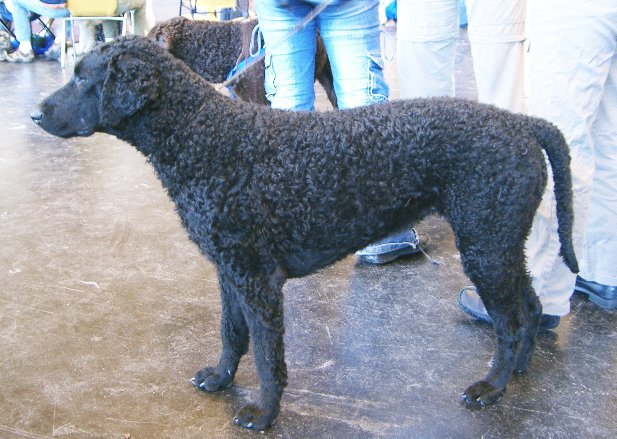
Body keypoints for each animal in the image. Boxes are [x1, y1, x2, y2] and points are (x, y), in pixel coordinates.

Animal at [32, 37, 576, 434]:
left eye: (83, 78)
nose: (35, 114)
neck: (202, 135)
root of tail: (520, 123)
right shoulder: (230, 272)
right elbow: (231, 334)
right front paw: (220, 378)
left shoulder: (258, 281)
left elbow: (268, 356)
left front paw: (262, 414)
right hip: (502, 244)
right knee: (530, 307)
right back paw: (518, 371)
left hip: (486, 245)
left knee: (508, 322)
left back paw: (491, 386)